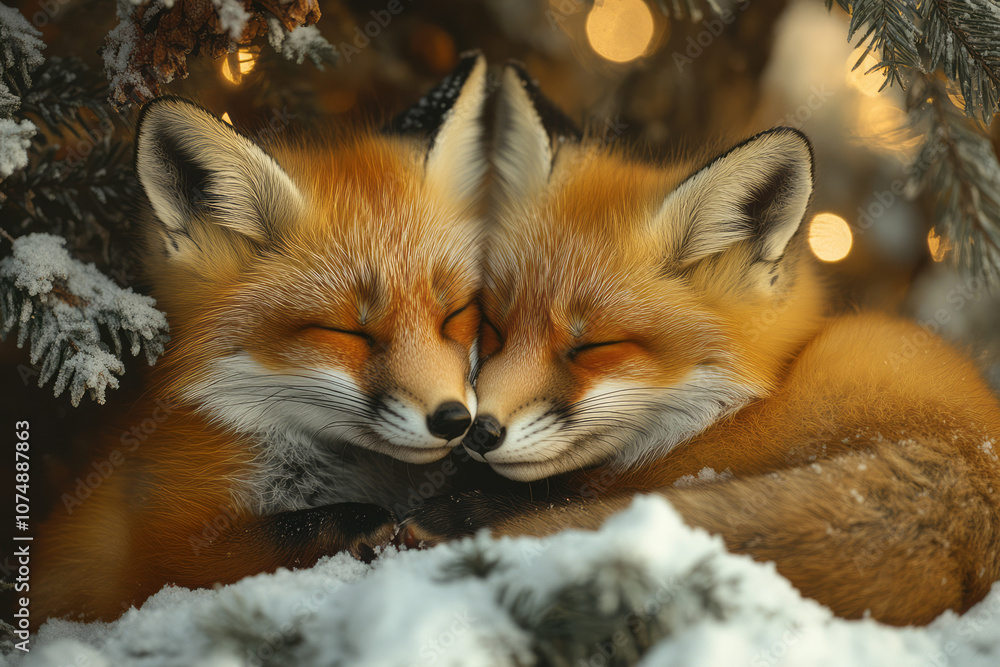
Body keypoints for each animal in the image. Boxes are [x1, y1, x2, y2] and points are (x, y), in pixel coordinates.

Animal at [32, 53, 492, 624]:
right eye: (347, 332)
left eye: (455, 314)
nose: (454, 420)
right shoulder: (152, 549)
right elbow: (268, 536)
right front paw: (362, 521)